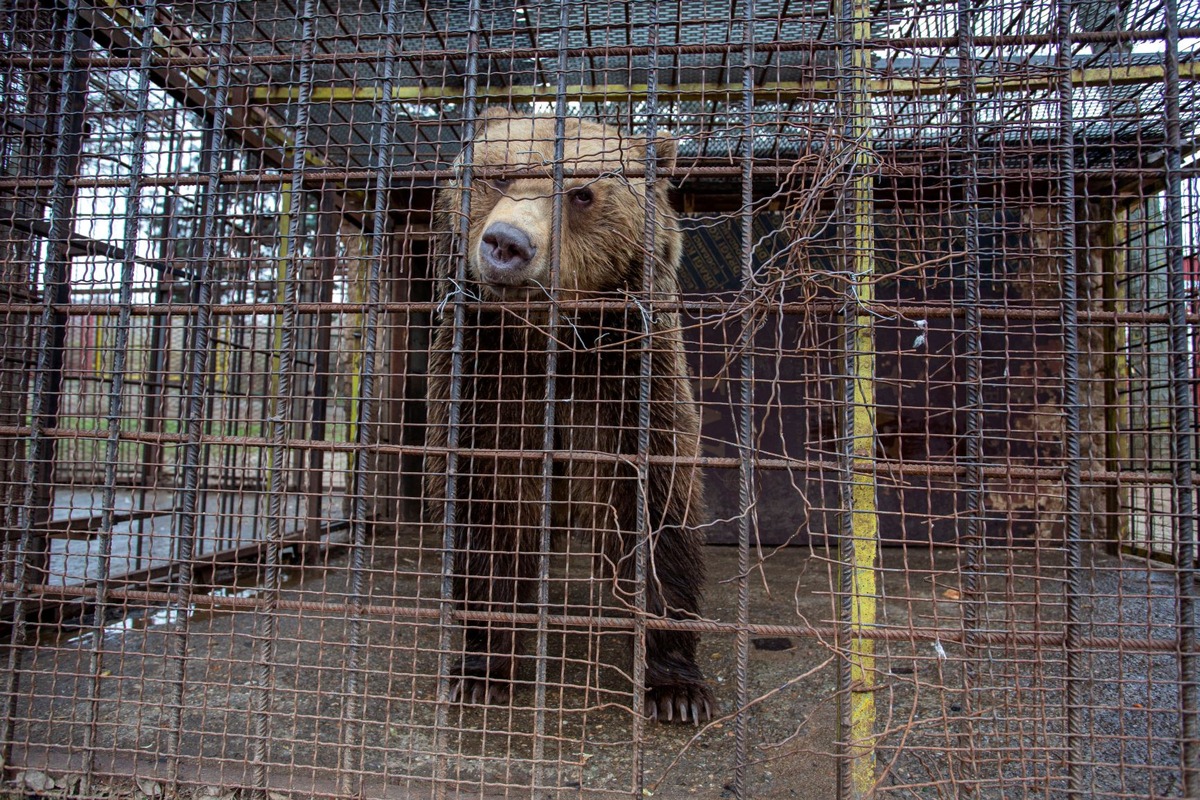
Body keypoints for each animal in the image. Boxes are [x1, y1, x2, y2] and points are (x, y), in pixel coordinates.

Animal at [424, 109, 710, 729]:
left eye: (581, 193)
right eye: (499, 175)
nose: (507, 243)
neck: (552, 342)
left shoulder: (627, 373)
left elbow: (655, 508)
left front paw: (674, 684)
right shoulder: (489, 375)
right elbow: (492, 508)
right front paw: (481, 669)